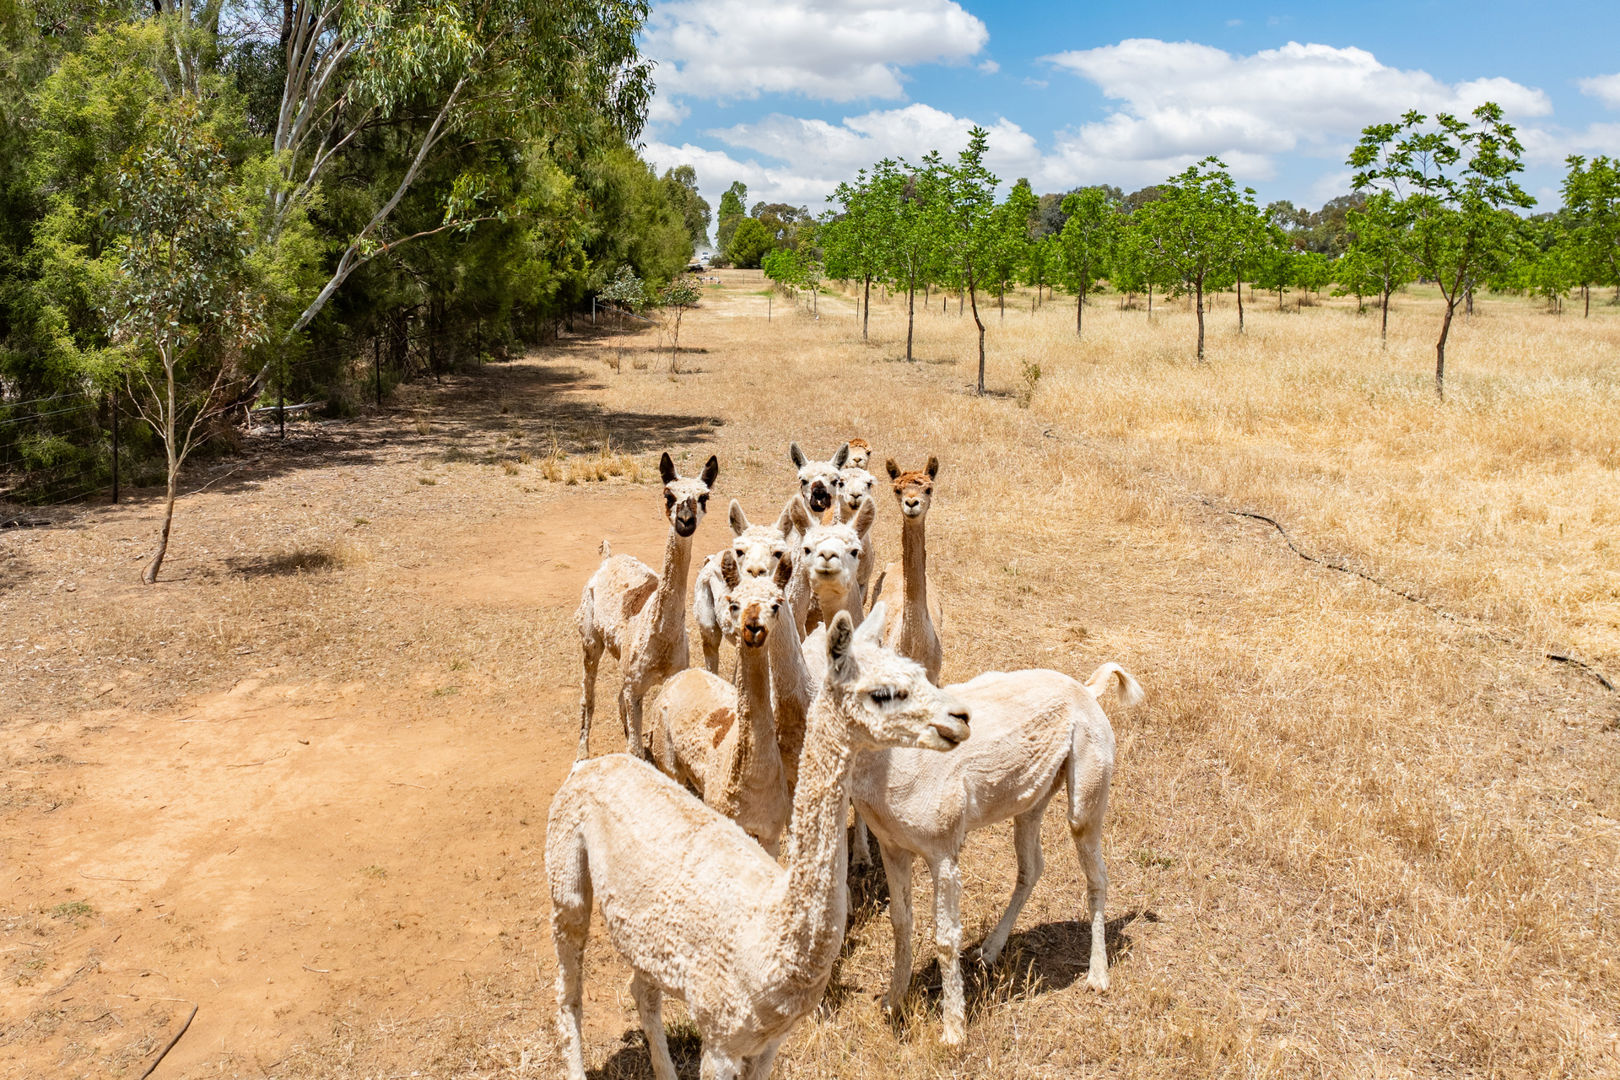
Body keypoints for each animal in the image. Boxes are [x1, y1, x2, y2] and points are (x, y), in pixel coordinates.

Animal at [547, 604, 973, 1080]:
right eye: (883, 693)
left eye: (920, 672)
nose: (959, 718)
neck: (772, 934)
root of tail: (592, 766)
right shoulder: (720, 1038)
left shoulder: (768, 1042)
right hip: (566, 879)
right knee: (568, 995)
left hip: (648, 937)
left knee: (643, 991)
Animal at [575, 452, 719, 759]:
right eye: (668, 494)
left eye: (704, 497)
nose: (685, 521)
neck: (660, 638)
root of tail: (609, 559)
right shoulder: (634, 683)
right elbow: (634, 748)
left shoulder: (669, 677)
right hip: (590, 640)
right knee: (587, 696)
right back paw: (582, 753)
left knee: (618, 700)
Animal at [647, 552, 796, 854]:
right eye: (734, 604)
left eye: (776, 605)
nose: (753, 627)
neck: (754, 781)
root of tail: (682, 676)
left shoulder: (771, 834)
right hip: (666, 756)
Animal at [852, 663, 1143, 1047]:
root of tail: (1087, 690)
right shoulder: (892, 846)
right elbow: (900, 923)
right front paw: (893, 1000)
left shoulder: (943, 852)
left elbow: (946, 938)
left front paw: (953, 1031)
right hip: (1032, 798)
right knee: (1032, 867)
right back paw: (990, 950)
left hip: (1088, 787)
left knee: (1097, 874)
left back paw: (1097, 976)